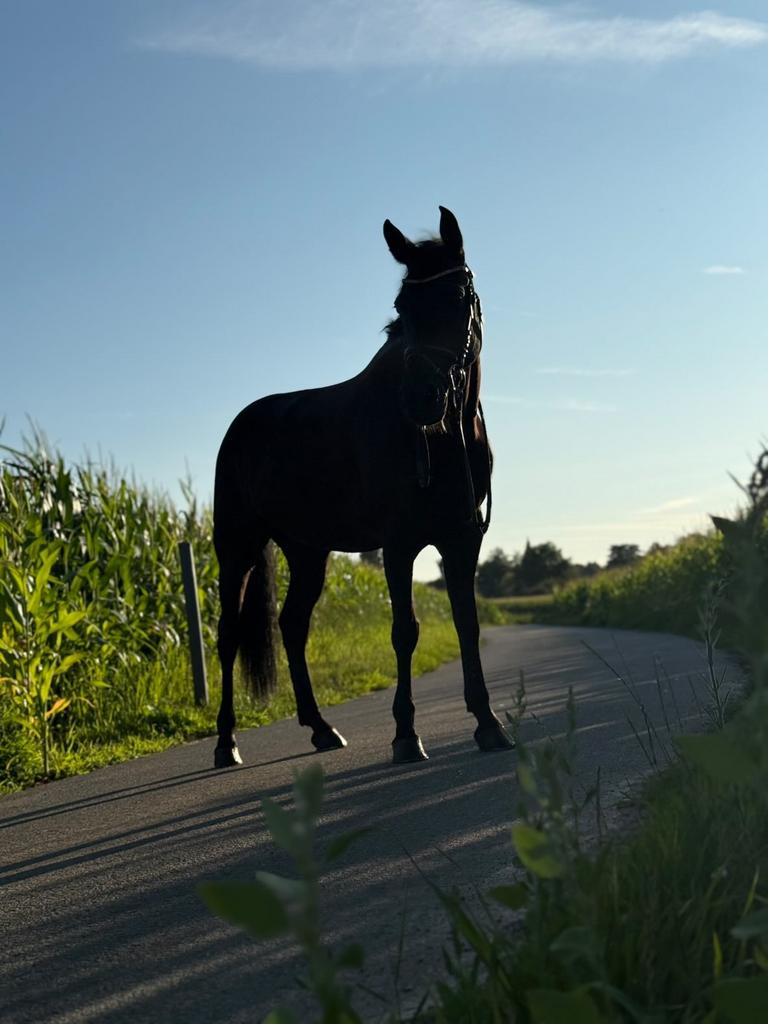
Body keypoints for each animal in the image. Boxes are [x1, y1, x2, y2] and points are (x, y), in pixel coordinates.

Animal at [212, 206, 512, 767]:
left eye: (458, 296)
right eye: (401, 306)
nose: (420, 398)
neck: (444, 437)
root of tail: (241, 424)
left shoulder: (462, 541)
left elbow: (468, 624)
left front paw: (488, 723)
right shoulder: (398, 545)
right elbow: (405, 630)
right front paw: (405, 735)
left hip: (307, 550)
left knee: (292, 626)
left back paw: (321, 728)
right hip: (237, 548)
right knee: (228, 634)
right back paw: (226, 743)